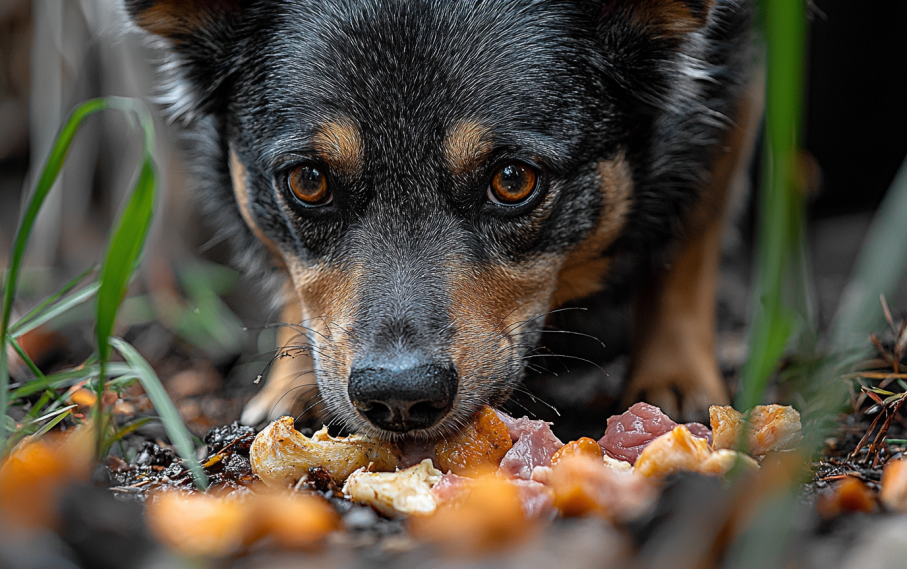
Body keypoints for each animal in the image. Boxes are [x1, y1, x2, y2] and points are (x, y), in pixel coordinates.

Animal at [126, 0, 760, 438]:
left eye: (513, 179)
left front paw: (675, 377)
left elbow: (689, 243)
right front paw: (292, 382)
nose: (399, 399)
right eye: (309, 181)